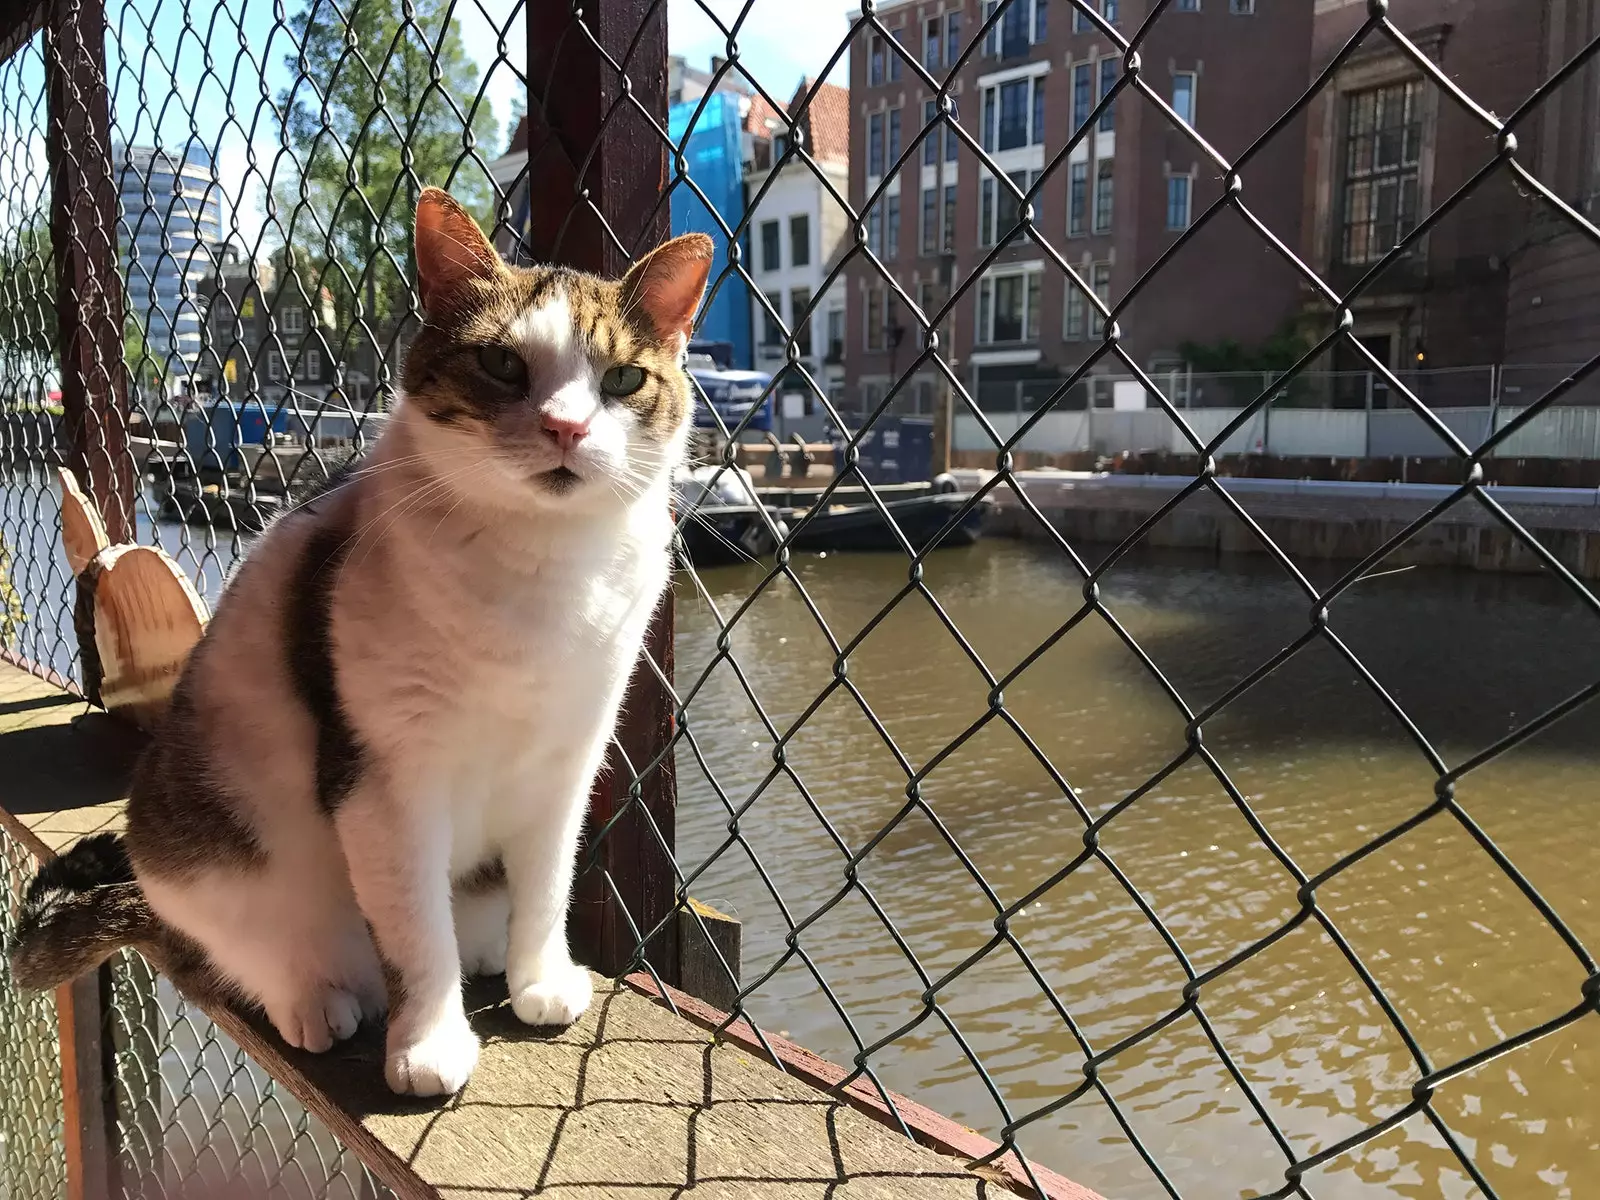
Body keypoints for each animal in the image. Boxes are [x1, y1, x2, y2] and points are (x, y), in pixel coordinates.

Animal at [10, 188, 713, 1100]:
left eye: (622, 378)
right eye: (503, 366)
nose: (565, 427)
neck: (542, 564)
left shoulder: (570, 759)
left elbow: (549, 882)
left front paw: (540, 979)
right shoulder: (386, 779)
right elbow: (415, 931)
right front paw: (429, 1044)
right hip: (206, 857)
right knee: (246, 950)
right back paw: (312, 997)